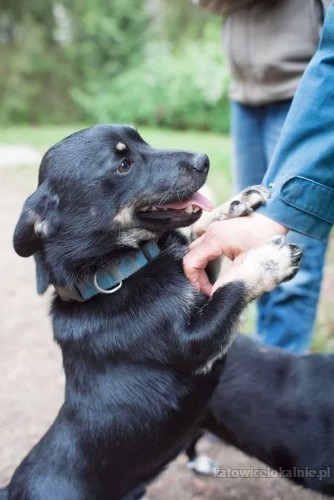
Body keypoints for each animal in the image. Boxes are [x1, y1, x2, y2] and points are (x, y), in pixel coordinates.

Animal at [0, 126, 302, 500]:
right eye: (123, 165)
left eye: (141, 139)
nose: (203, 160)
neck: (118, 272)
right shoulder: (198, 343)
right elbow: (231, 287)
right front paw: (267, 261)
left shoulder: (198, 276)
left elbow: (200, 234)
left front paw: (235, 204)